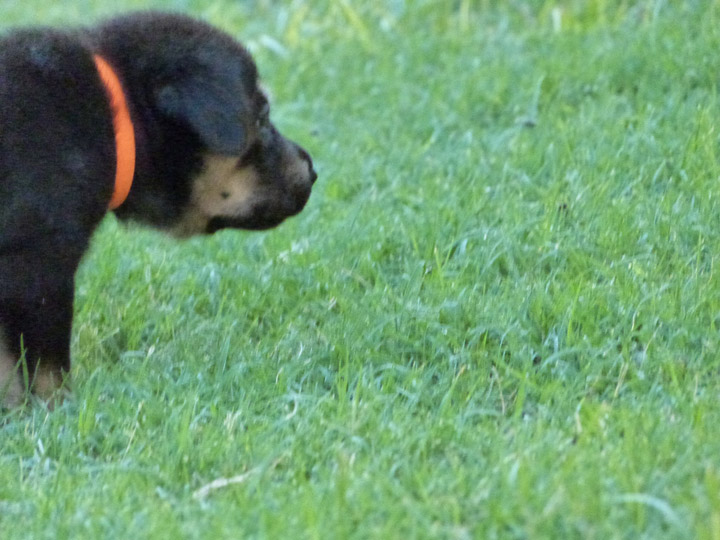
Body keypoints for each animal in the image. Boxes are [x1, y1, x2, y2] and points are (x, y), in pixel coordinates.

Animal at [0, 12, 318, 408]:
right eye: (260, 118)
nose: (312, 170)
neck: (114, 119)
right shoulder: (39, 264)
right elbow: (45, 366)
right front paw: (57, 410)